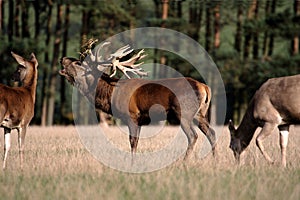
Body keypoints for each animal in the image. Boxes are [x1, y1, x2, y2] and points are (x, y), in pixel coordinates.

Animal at [59, 41, 217, 159]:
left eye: (78, 63)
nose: (62, 58)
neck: (109, 95)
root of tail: (205, 87)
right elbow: (136, 141)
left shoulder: (132, 115)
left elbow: (133, 142)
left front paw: (132, 163)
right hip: (200, 114)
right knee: (212, 133)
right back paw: (215, 161)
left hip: (184, 113)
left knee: (193, 136)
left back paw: (184, 162)